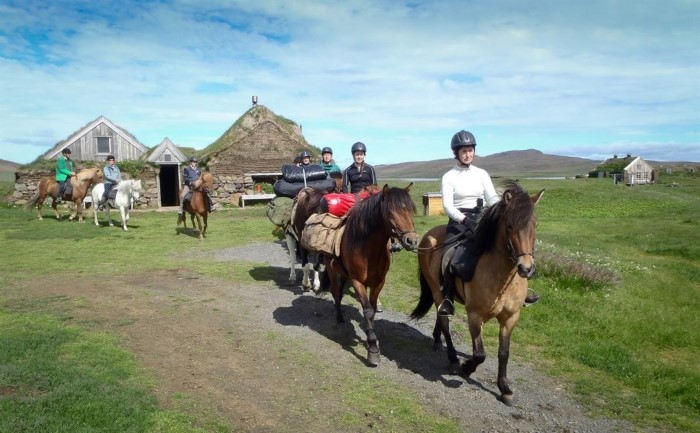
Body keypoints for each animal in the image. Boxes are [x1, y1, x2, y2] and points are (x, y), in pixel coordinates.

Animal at [326, 182, 418, 364]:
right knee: (335, 293)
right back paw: (339, 318)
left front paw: (373, 340)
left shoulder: (379, 282)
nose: (412, 240)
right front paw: (373, 349)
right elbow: (367, 311)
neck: (367, 249)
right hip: (332, 270)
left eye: (410, 210)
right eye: (390, 212)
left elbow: (373, 310)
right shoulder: (357, 282)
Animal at [410, 181, 548, 404]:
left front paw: (505, 388)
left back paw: (437, 340)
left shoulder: (510, 317)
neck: (501, 278)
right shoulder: (475, 315)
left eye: (535, 225)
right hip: (436, 290)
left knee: (440, 316)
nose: (526, 268)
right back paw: (453, 359)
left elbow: (504, 352)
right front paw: (466, 369)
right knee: (445, 321)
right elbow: (480, 354)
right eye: (510, 226)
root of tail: (428, 236)